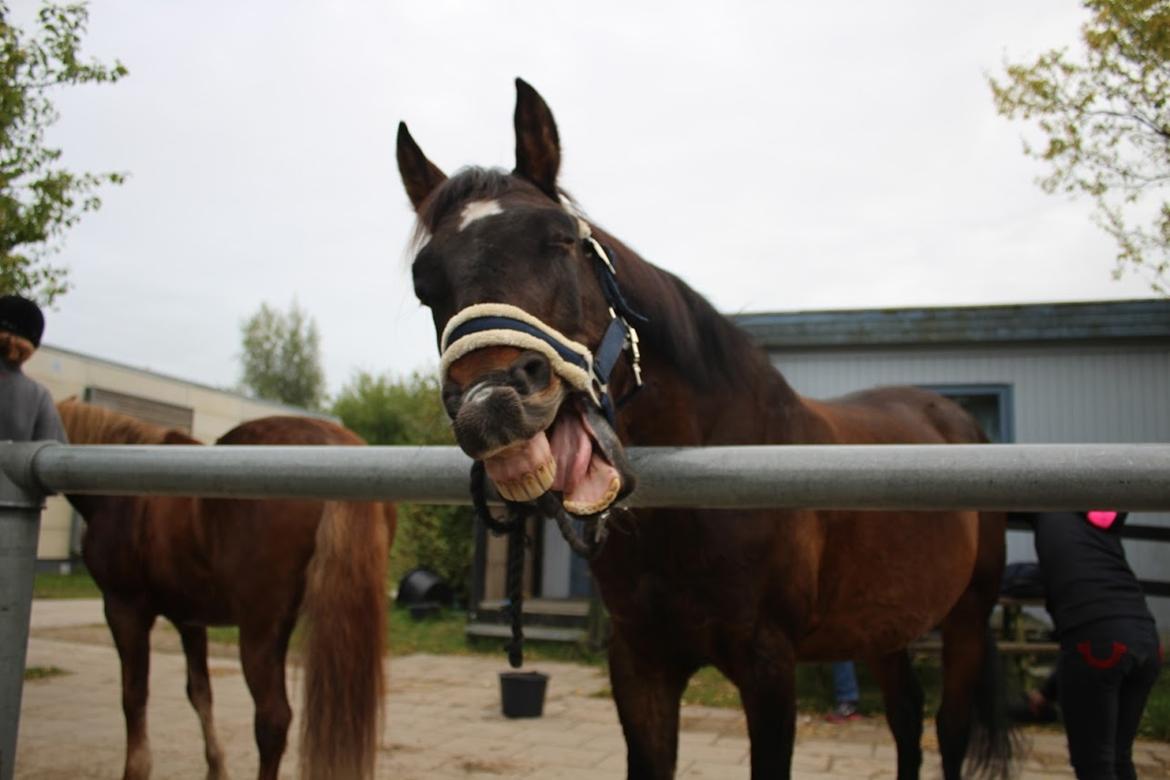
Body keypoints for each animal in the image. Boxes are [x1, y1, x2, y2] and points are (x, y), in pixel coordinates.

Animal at [55, 402, 393, 780]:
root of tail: (335, 445)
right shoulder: (189, 619)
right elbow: (200, 692)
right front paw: (216, 767)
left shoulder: (122, 609)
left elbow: (133, 696)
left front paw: (137, 769)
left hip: (259, 627)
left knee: (272, 720)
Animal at [395, 80, 1015, 780]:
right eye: (425, 286)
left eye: (561, 240)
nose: (492, 404)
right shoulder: (641, 664)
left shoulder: (768, 669)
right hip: (886, 626)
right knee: (908, 718)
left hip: (966, 619)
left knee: (948, 729)